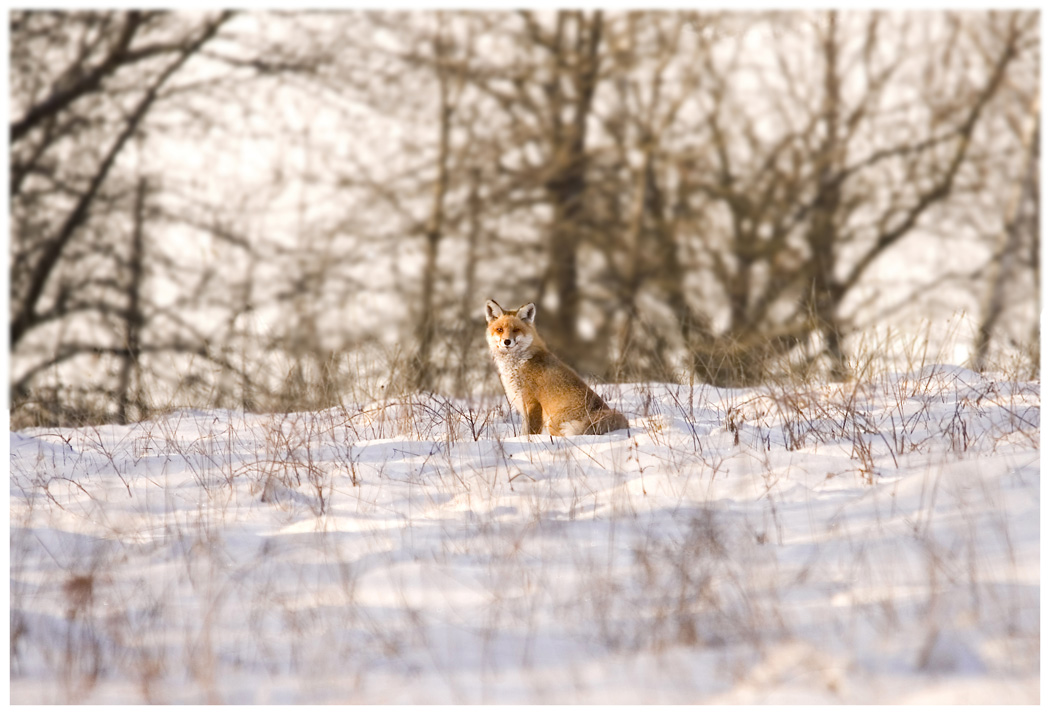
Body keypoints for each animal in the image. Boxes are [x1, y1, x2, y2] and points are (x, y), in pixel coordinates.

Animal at [485, 296, 625, 434]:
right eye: (499, 330)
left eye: (516, 330)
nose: (507, 341)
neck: (517, 364)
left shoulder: (532, 403)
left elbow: (531, 433)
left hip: (553, 423)